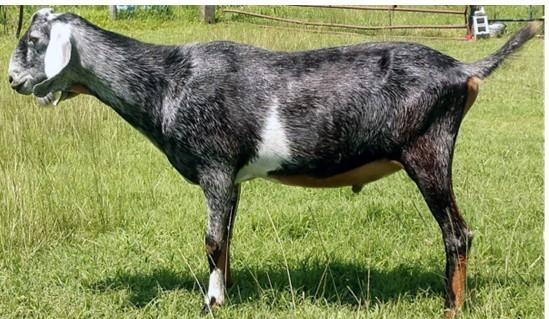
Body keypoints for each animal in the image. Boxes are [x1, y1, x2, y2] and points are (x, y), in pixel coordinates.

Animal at [7, 8, 540, 318]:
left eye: (33, 41)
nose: (12, 81)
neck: (168, 82)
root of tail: (464, 70)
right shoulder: (233, 179)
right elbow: (227, 240)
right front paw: (226, 293)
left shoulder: (215, 166)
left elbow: (211, 240)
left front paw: (211, 303)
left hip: (428, 151)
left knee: (457, 232)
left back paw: (451, 307)